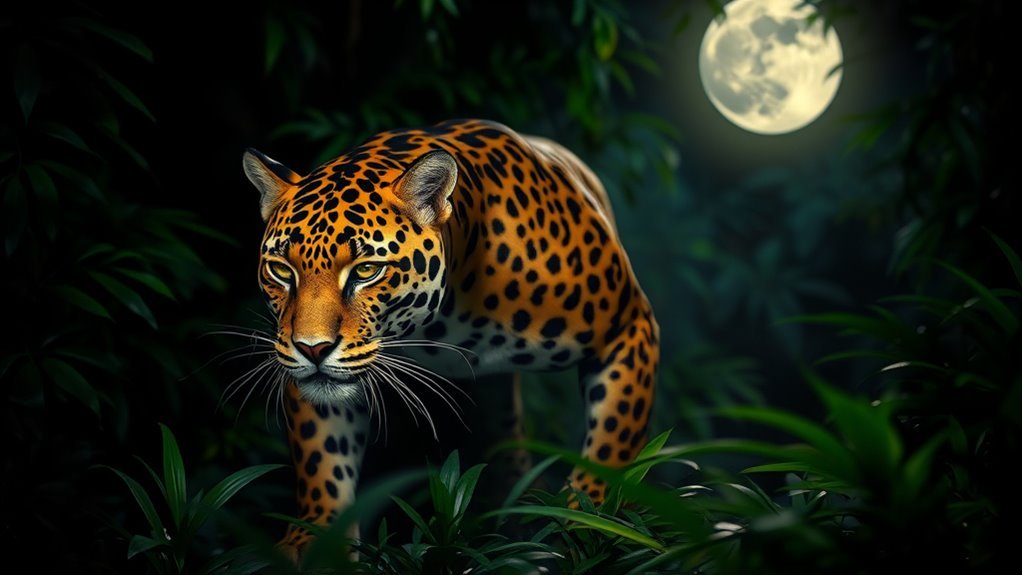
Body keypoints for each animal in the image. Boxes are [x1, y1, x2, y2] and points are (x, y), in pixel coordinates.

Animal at [241, 119, 659, 554]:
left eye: (367, 270)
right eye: (281, 270)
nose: (313, 348)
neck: (444, 319)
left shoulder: (629, 326)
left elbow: (614, 439)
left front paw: (591, 521)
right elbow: (322, 459)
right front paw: (315, 541)